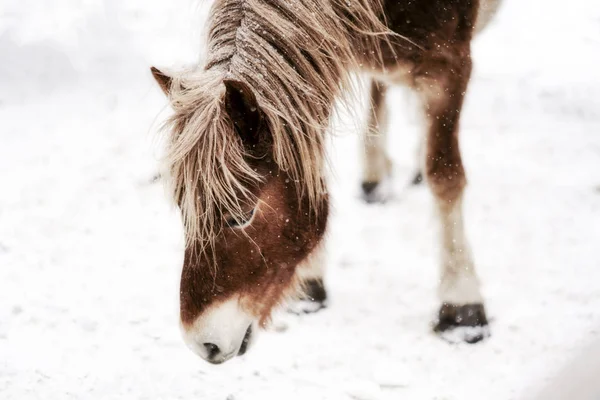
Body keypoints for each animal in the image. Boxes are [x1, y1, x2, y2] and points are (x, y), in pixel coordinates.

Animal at [151, 0, 502, 366]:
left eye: (242, 215)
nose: (201, 344)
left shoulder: (450, 66)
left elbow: (445, 176)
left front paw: (461, 306)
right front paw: (310, 284)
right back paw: (375, 177)